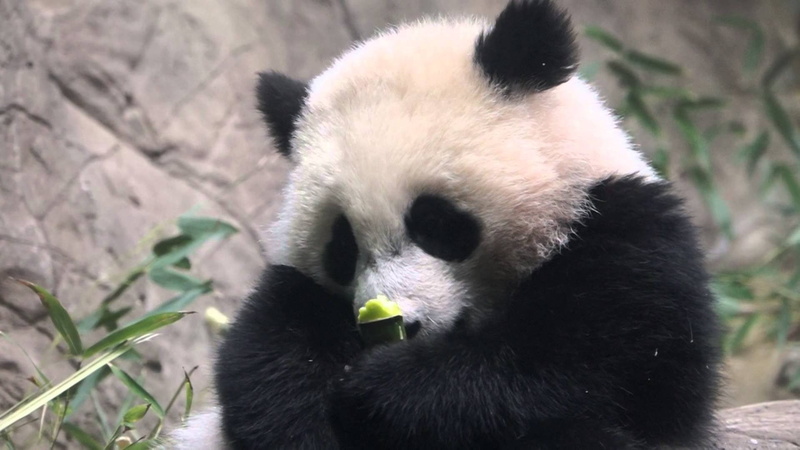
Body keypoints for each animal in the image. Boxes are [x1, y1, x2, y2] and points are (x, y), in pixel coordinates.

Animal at [171, 0, 721, 448]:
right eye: (342, 247)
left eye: (435, 223)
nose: (401, 326)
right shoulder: (292, 292)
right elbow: (264, 352)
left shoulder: (628, 234)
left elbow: (600, 368)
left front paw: (385, 385)